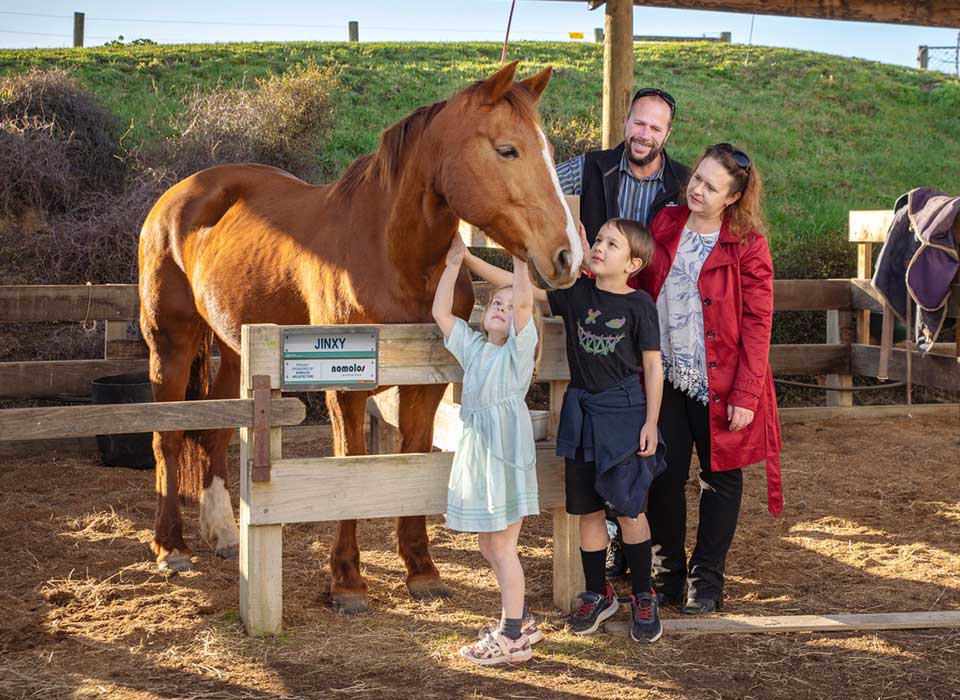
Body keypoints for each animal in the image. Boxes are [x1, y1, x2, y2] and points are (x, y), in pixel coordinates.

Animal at [138, 63, 580, 616]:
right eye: (507, 149)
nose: (568, 255)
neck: (390, 255)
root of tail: (179, 193)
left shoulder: (425, 385)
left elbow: (413, 458)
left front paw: (421, 569)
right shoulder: (345, 387)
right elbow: (349, 467)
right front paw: (347, 580)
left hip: (237, 348)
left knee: (215, 429)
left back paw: (222, 531)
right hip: (170, 343)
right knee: (168, 438)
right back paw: (169, 545)